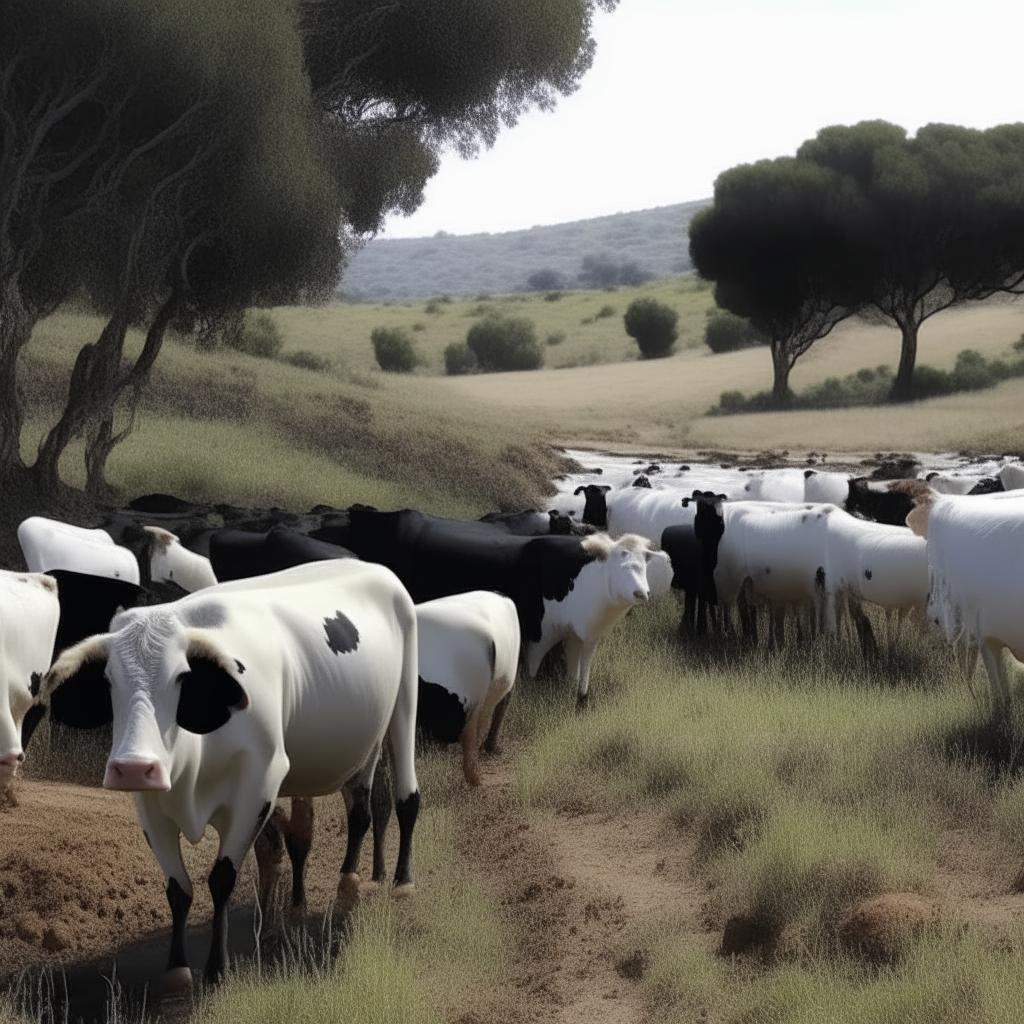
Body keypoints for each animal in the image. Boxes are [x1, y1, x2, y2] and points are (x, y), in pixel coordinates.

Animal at [37, 561, 419, 991]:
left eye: (182, 677)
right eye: (108, 680)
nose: (134, 766)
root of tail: (369, 565)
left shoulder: (257, 787)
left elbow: (222, 878)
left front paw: (217, 969)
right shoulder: (150, 805)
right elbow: (179, 888)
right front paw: (178, 968)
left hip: (404, 703)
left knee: (404, 798)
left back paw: (398, 882)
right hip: (363, 749)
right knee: (357, 811)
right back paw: (332, 894)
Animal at [315, 505, 667, 704]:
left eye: (643, 566)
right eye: (621, 564)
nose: (642, 594)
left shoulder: (581, 637)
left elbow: (578, 675)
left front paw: (580, 699)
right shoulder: (537, 635)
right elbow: (533, 674)